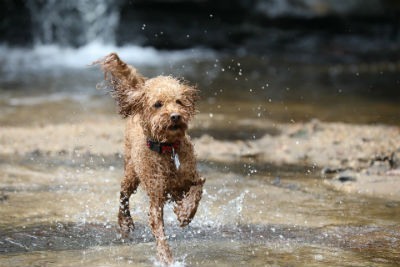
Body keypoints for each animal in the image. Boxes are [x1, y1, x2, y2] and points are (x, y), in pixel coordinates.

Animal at [95, 53, 205, 266]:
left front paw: (184, 213)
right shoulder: (156, 197)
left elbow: (197, 191)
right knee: (123, 195)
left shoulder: (192, 177)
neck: (168, 149)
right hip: (131, 173)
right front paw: (166, 258)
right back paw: (125, 222)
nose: (175, 116)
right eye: (158, 104)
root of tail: (141, 87)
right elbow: (159, 232)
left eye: (179, 101)